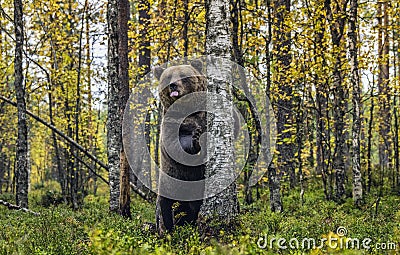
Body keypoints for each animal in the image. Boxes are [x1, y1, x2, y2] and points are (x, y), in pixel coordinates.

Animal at [155, 60, 208, 235]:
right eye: (168, 76)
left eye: (183, 76)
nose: (173, 85)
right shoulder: (171, 122)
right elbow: (176, 144)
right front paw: (196, 139)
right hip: (169, 182)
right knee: (165, 207)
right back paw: (168, 230)